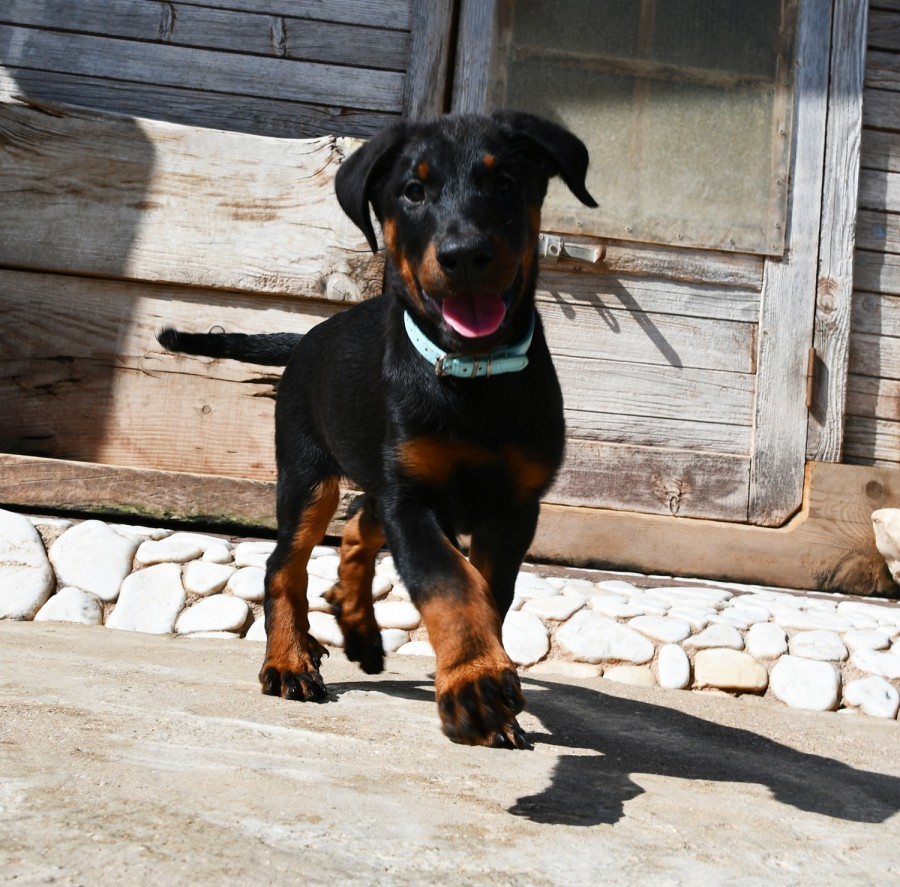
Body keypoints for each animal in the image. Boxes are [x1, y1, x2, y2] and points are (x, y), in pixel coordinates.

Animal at [158, 111, 596, 748]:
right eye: (412, 192)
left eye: (506, 182)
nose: (465, 255)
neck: (472, 377)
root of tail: (305, 339)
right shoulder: (411, 499)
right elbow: (449, 582)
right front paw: (476, 685)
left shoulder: (515, 507)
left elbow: (487, 590)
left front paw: (483, 685)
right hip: (307, 475)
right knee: (283, 562)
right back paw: (288, 660)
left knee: (359, 525)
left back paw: (355, 623)